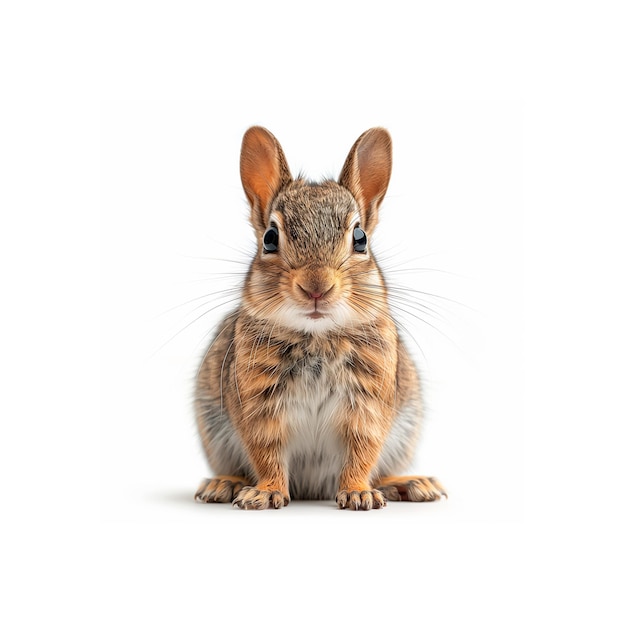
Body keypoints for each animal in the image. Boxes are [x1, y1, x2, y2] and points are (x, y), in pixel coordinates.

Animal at [194, 125, 444, 508]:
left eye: (360, 238)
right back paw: (224, 484)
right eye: (270, 238)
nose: (316, 286)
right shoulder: (258, 406)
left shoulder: (368, 405)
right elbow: (266, 454)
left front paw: (357, 493)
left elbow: (361, 453)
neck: (317, 335)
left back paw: (411, 483)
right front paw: (265, 493)